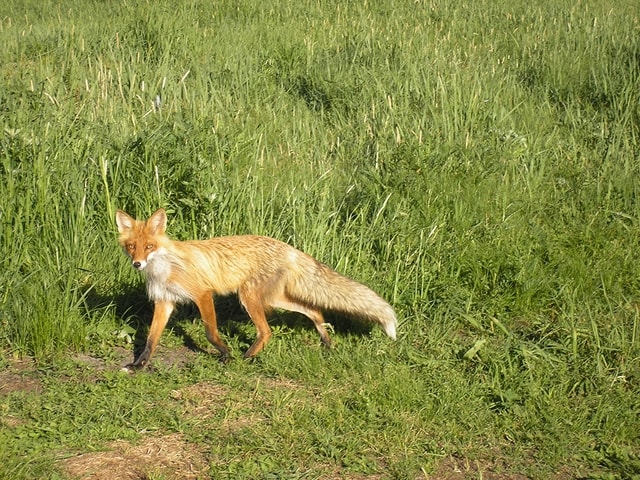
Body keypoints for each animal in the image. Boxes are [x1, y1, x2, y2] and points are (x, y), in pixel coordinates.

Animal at [115, 208, 396, 370]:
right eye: (132, 247)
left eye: (149, 246)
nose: (137, 263)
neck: (164, 268)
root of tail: (287, 247)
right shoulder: (165, 301)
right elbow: (151, 340)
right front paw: (139, 365)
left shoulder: (202, 294)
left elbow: (210, 332)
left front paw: (226, 354)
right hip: (274, 297)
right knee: (313, 310)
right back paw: (326, 341)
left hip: (249, 297)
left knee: (267, 331)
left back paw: (248, 357)